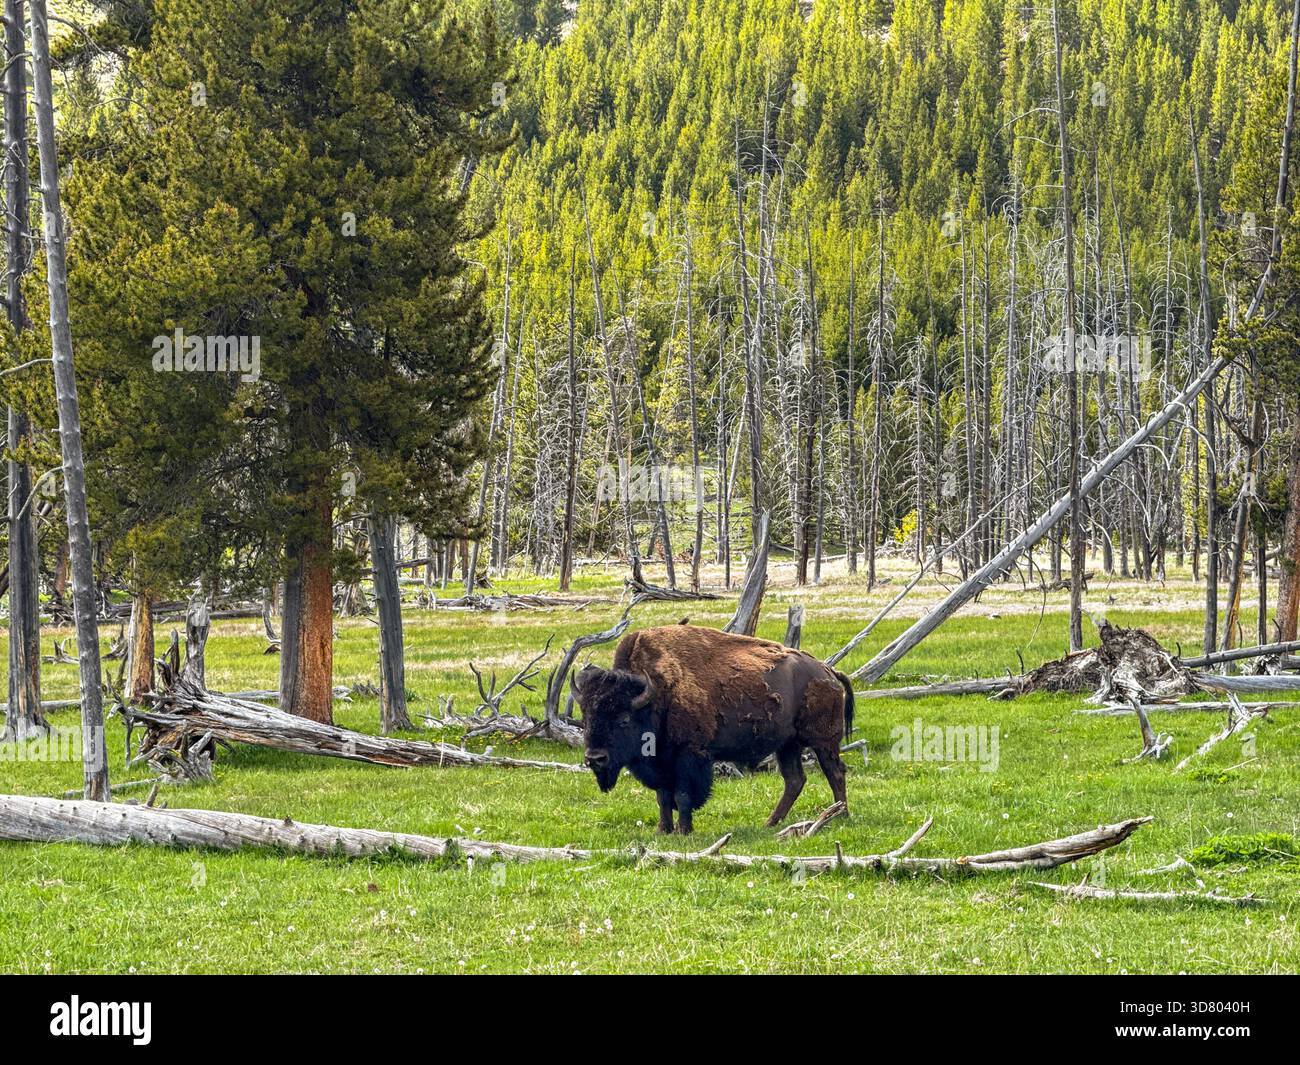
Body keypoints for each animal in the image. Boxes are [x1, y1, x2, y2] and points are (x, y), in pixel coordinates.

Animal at [572, 623, 854, 834]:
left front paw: (684, 831)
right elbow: (663, 797)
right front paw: (663, 830)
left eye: (623, 719)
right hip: (787, 745)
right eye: (586, 718)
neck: (655, 696)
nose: (595, 758)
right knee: (794, 780)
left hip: (823, 742)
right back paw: (770, 823)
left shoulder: (689, 756)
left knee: (835, 773)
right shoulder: (662, 763)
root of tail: (827, 670)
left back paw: (840, 815)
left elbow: (682, 795)